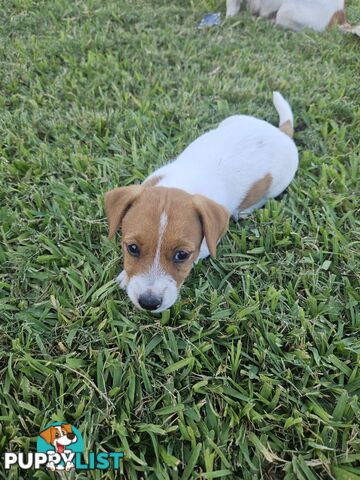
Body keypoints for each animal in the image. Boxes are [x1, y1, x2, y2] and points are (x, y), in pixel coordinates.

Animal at [105, 92, 300, 314]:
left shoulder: (206, 246)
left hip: (278, 184)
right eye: (132, 248)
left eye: (182, 255)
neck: (181, 182)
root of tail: (280, 132)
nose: (149, 303)